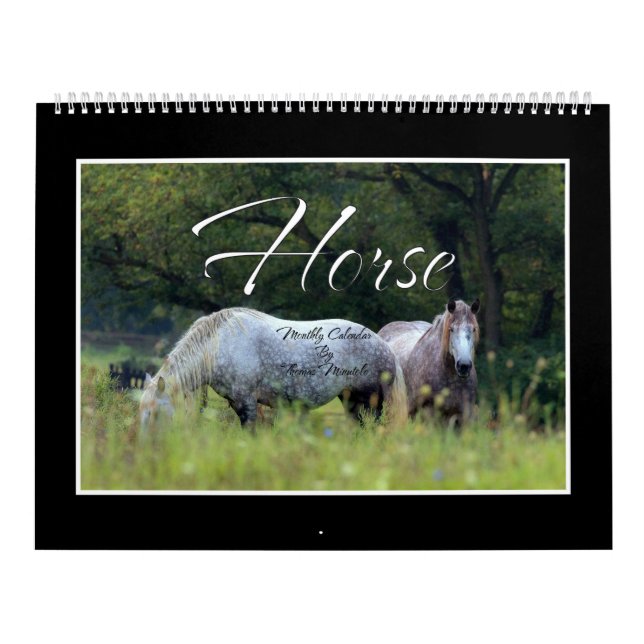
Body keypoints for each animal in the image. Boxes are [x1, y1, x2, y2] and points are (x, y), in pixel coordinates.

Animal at [139, 307, 408, 432]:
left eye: (154, 413)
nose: (143, 448)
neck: (217, 344)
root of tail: (385, 346)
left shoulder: (246, 403)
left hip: (370, 403)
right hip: (350, 400)